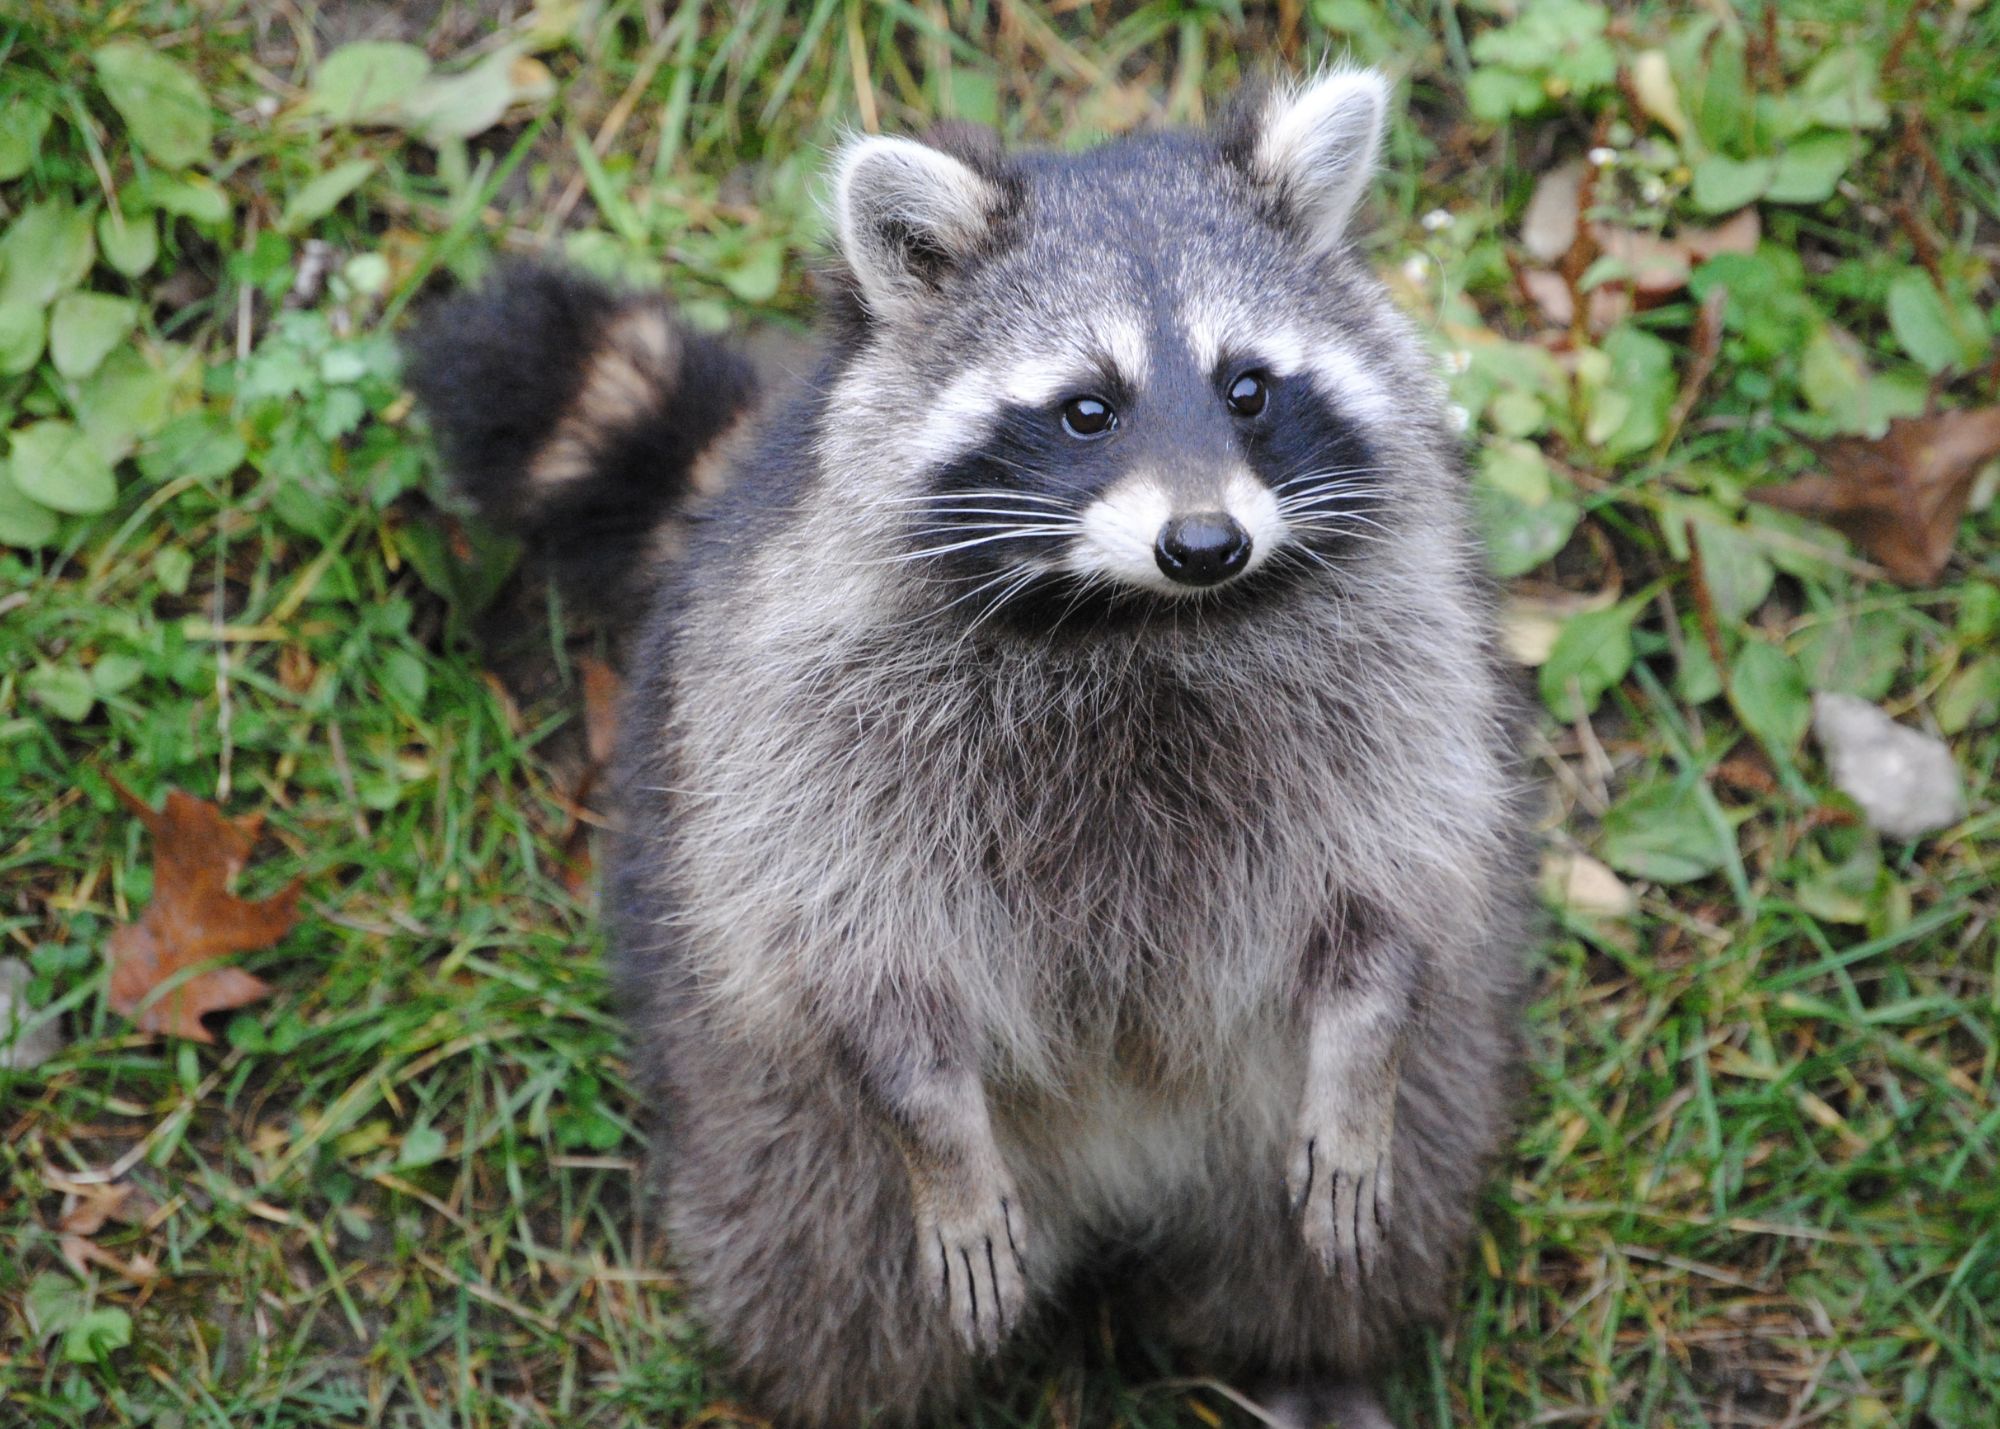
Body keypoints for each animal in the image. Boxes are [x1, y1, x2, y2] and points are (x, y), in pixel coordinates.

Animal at [408, 69, 1536, 1429]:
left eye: (1248, 388)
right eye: (1086, 409)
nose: (1204, 544)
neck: (1134, 619)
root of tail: (1120, 1182)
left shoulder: (1396, 653)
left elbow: (1392, 875)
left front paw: (1359, 1048)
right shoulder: (802, 708)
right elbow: (853, 939)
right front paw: (930, 1117)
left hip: (1382, 1098)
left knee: (1345, 1218)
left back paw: (1308, 1351)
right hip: (772, 1112)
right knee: (823, 1274)